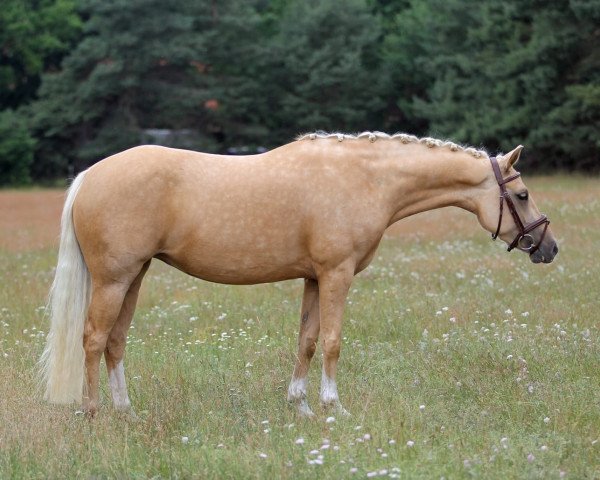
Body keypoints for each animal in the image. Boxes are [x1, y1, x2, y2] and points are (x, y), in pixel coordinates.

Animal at [39, 131, 560, 416]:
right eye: (521, 195)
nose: (549, 248)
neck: (365, 179)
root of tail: (89, 176)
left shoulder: (314, 278)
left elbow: (306, 340)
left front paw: (301, 406)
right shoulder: (337, 274)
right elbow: (331, 341)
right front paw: (333, 406)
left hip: (136, 275)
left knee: (115, 341)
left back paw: (125, 412)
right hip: (114, 278)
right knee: (93, 339)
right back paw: (94, 414)